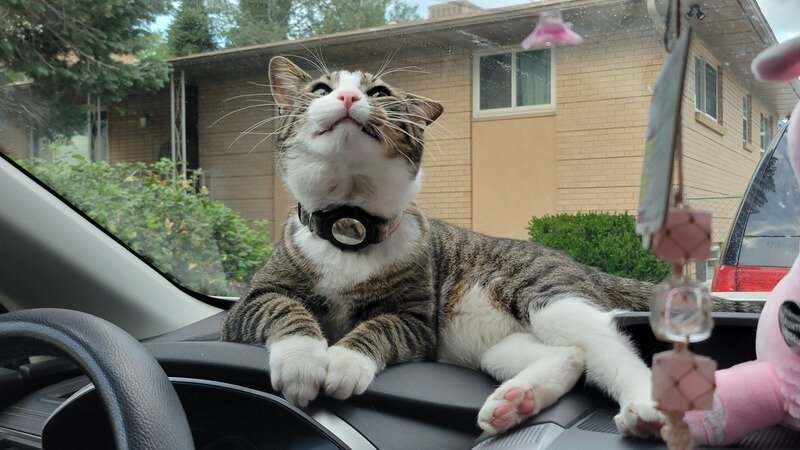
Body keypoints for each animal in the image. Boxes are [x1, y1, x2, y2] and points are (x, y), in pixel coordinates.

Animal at [221, 55, 757, 437]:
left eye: (379, 92)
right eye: (320, 89)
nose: (350, 95)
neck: (350, 228)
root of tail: (580, 265)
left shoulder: (417, 320)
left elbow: (381, 327)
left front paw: (347, 361)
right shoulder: (252, 300)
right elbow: (284, 309)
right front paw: (302, 358)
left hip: (546, 295)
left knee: (608, 344)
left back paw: (644, 407)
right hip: (490, 344)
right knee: (571, 355)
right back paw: (516, 401)